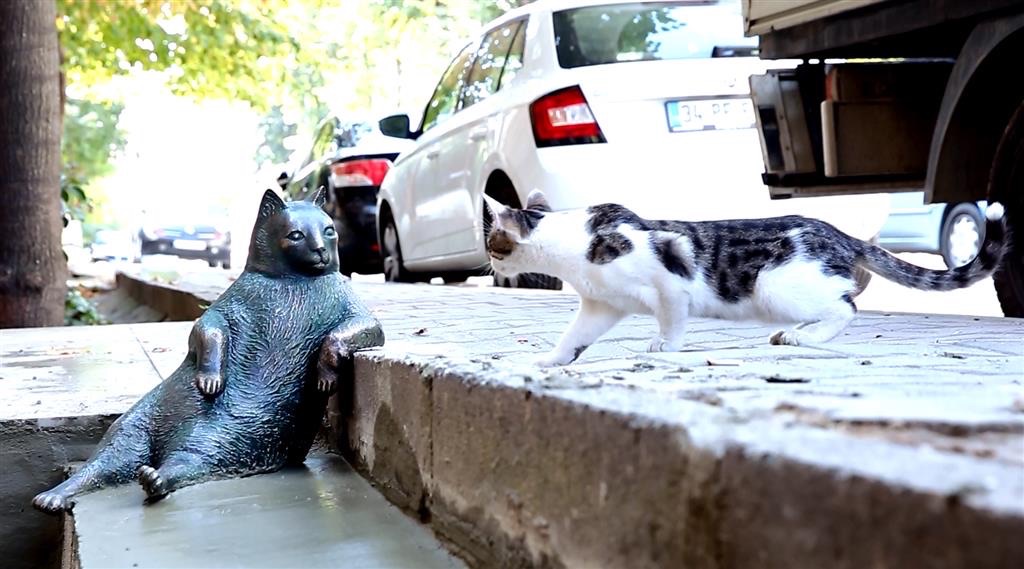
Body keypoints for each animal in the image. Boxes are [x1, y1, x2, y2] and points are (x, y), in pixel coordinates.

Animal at [485, 191, 1007, 366]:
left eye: (492, 243)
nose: (489, 265)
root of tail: (842, 235)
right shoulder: (602, 304)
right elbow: (573, 337)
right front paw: (550, 360)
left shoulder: (670, 280)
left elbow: (672, 319)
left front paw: (664, 347)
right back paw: (792, 336)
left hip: (774, 285)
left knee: (847, 306)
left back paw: (801, 338)